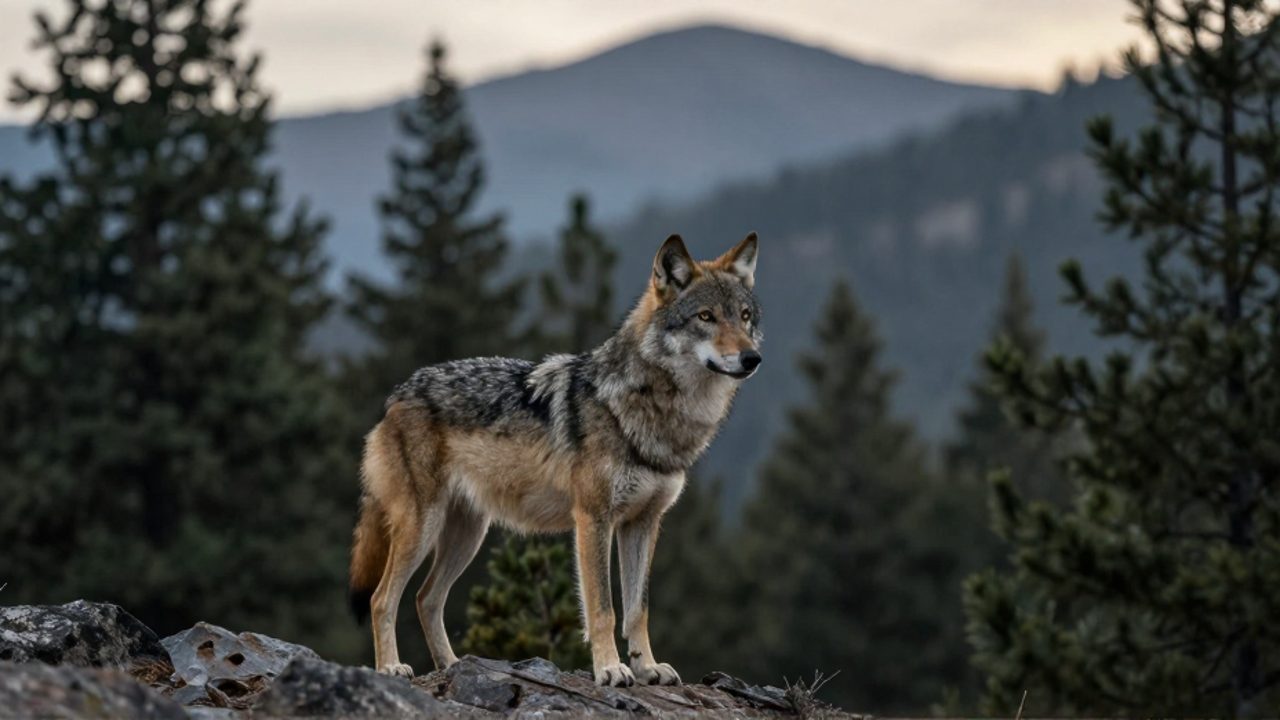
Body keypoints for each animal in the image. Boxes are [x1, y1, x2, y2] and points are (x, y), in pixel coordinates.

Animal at [348, 232, 762, 687]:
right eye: (706, 316)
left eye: (744, 317)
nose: (752, 358)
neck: (646, 409)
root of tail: (398, 394)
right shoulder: (593, 519)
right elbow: (603, 608)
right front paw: (611, 669)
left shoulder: (643, 523)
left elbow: (638, 609)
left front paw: (647, 667)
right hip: (422, 527)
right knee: (382, 598)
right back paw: (391, 667)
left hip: (467, 534)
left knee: (426, 598)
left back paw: (453, 666)